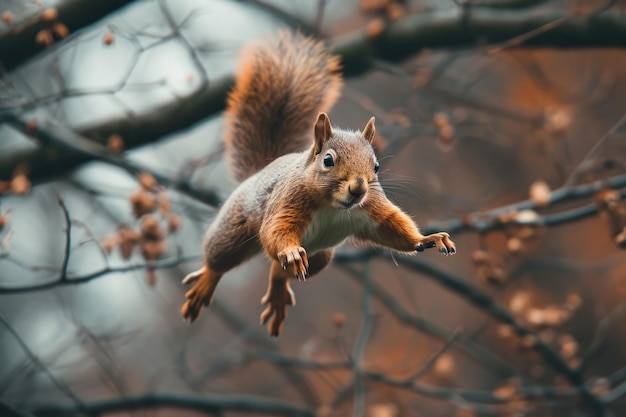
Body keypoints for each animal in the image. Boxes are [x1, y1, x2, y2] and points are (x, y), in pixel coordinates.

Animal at [180, 31, 454, 334]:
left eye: (376, 166)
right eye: (328, 160)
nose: (358, 188)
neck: (334, 205)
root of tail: (260, 170)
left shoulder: (373, 210)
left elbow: (393, 228)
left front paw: (428, 239)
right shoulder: (288, 202)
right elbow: (277, 230)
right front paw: (289, 250)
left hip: (320, 258)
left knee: (279, 270)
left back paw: (278, 291)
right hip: (234, 230)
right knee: (221, 258)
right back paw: (207, 283)